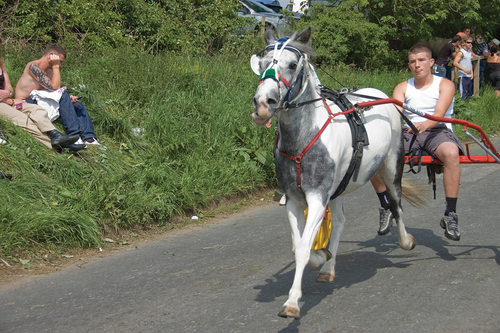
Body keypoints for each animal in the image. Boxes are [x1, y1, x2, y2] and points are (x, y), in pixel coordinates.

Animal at [250, 27, 418, 318]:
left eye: (292, 65)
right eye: (261, 64)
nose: (263, 102)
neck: (303, 140)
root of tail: (380, 97)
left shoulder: (318, 198)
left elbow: (303, 248)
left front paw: (292, 302)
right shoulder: (294, 200)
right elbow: (299, 246)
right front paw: (322, 256)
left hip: (391, 166)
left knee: (396, 203)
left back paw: (406, 241)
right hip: (339, 187)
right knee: (339, 222)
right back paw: (328, 267)